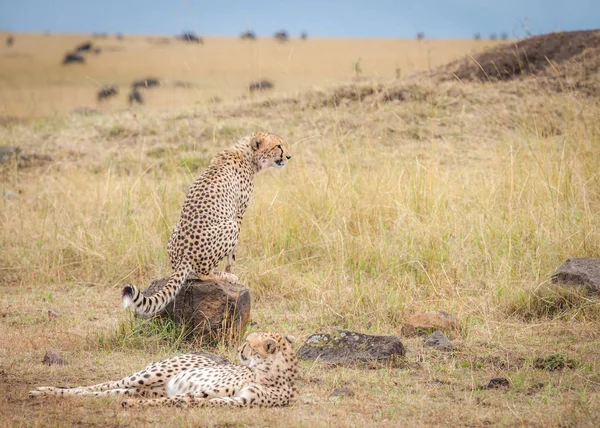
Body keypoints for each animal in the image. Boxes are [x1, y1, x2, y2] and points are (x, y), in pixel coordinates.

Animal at [29, 332, 298, 408]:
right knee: (100, 385)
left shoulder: (239, 401)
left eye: (249, 343)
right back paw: (43, 391)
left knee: (104, 392)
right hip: (148, 375)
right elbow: (183, 399)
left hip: (142, 387)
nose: (240, 349)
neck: (268, 373)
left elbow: (195, 401)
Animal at [121, 132, 290, 316]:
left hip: (175, 230)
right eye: (278, 146)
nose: (288, 156)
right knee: (203, 273)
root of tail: (184, 255)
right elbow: (232, 255)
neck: (247, 156)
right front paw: (230, 271)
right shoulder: (238, 214)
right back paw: (224, 276)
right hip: (230, 226)